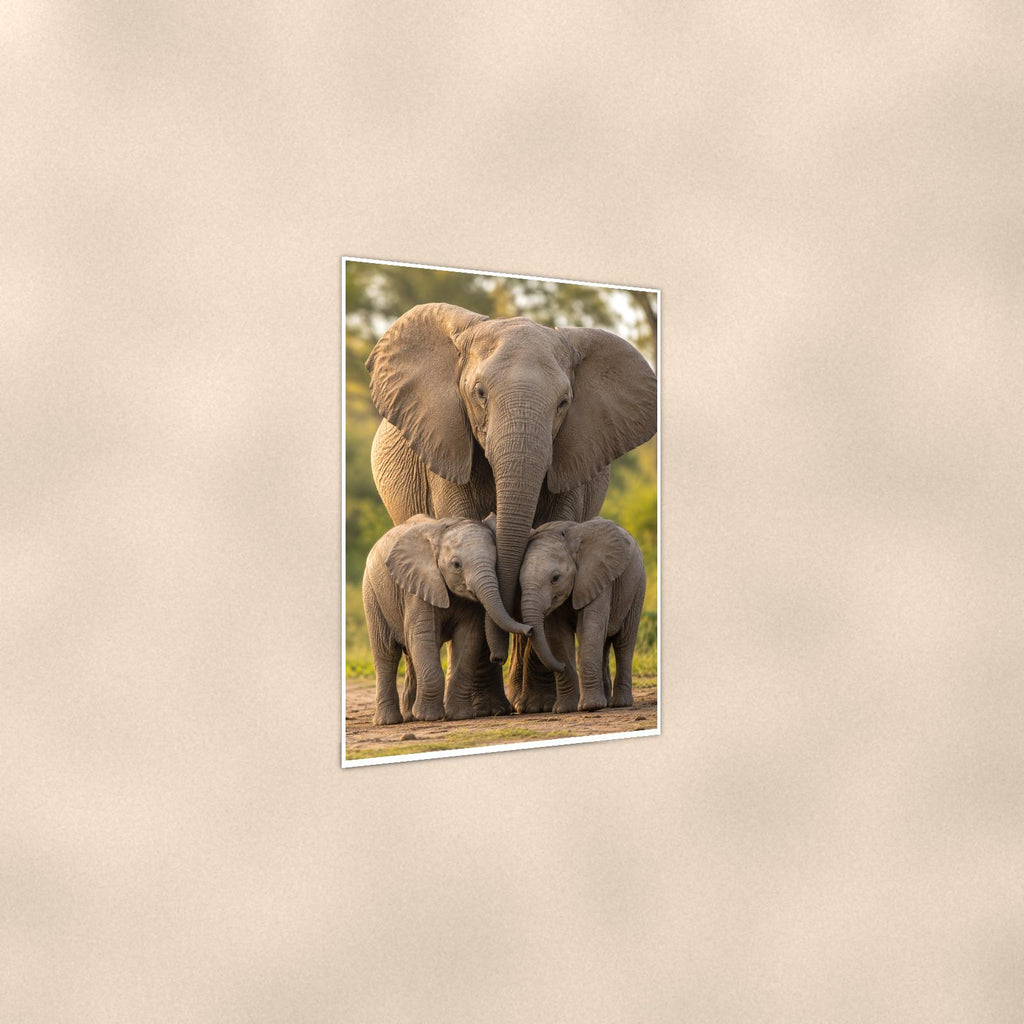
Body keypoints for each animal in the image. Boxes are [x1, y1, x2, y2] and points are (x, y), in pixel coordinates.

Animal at [361, 515, 529, 724]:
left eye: (496, 561)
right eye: (457, 565)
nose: (529, 629)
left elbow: (468, 639)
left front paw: (460, 716)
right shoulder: (419, 587)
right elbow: (423, 636)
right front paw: (429, 717)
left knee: (410, 655)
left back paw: (410, 716)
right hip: (372, 594)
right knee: (387, 653)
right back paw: (389, 721)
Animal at [517, 518, 646, 713]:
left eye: (555, 578)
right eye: (519, 581)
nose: (561, 666)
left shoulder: (598, 578)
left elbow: (589, 628)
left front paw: (590, 706)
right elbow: (557, 636)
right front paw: (564, 709)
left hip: (637, 587)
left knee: (624, 642)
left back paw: (620, 703)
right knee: (604, 644)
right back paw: (606, 700)